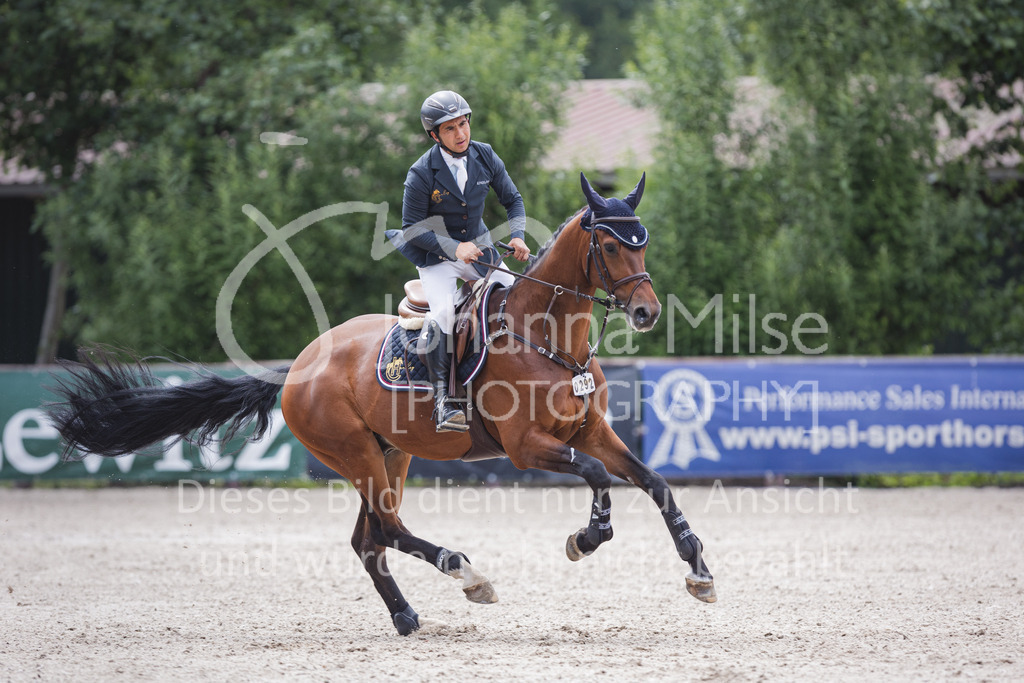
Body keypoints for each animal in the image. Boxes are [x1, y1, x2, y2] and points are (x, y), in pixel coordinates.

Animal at [47, 172, 716, 636]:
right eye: (610, 245)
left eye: (643, 242)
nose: (646, 312)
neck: (548, 338)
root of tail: (298, 367)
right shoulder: (531, 449)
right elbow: (600, 477)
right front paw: (587, 537)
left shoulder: (590, 431)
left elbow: (653, 481)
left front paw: (698, 570)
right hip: (355, 453)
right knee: (389, 529)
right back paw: (467, 574)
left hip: (389, 455)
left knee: (369, 540)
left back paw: (407, 617)